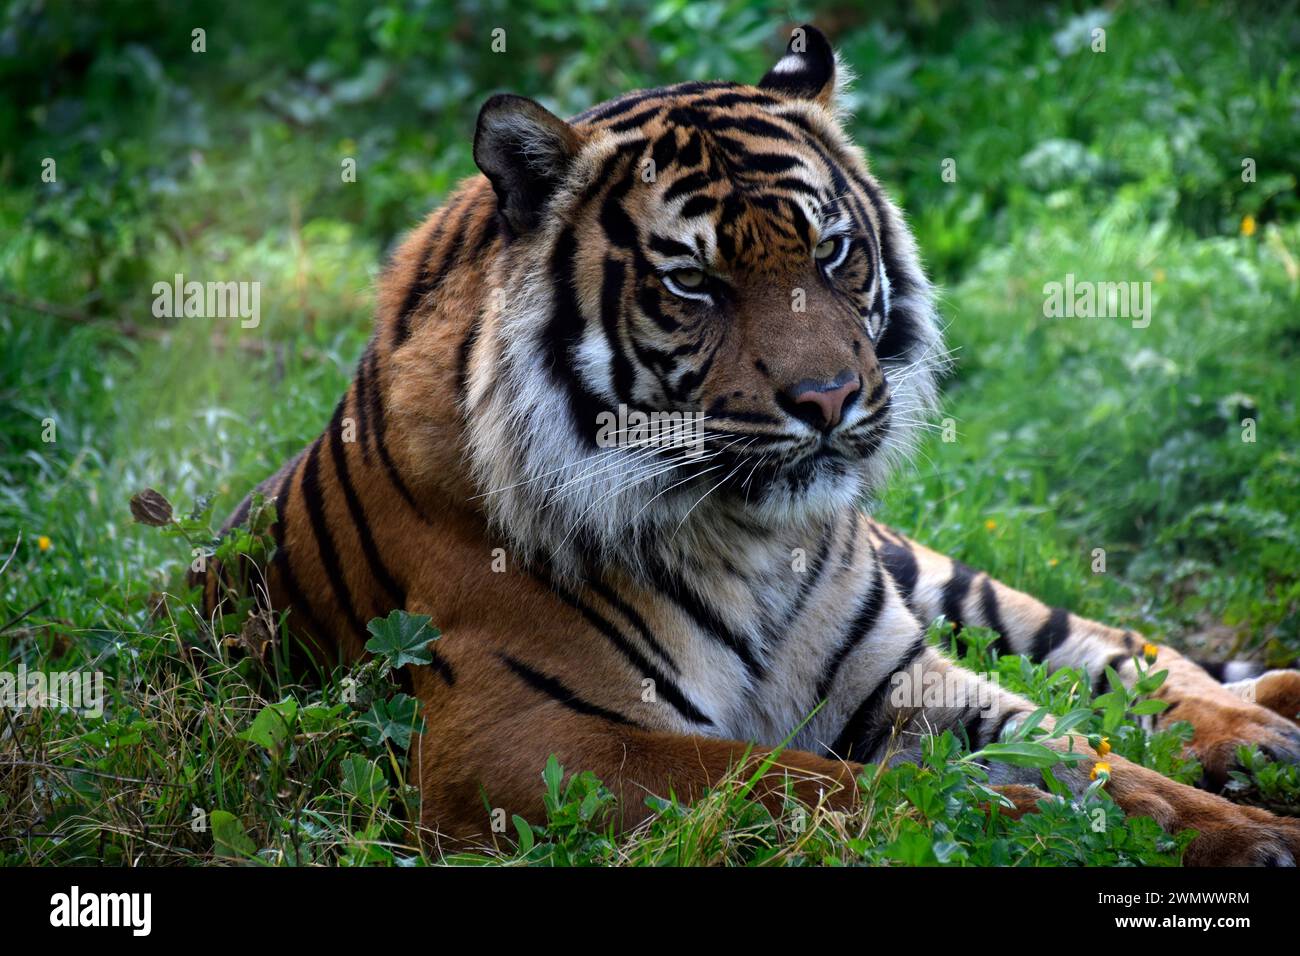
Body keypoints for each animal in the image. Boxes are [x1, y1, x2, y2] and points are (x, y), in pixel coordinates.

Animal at [200, 26, 1300, 868]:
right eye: (694, 284)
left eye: (833, 252)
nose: (829, 399)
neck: (751, 541)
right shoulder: (515, 737)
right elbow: (797, 777)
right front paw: (1024, 817)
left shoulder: (896, 675)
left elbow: (1075, 741)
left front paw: (1229, 826)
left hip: (927, 570)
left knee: (1116, 651)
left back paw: (1262, 725)